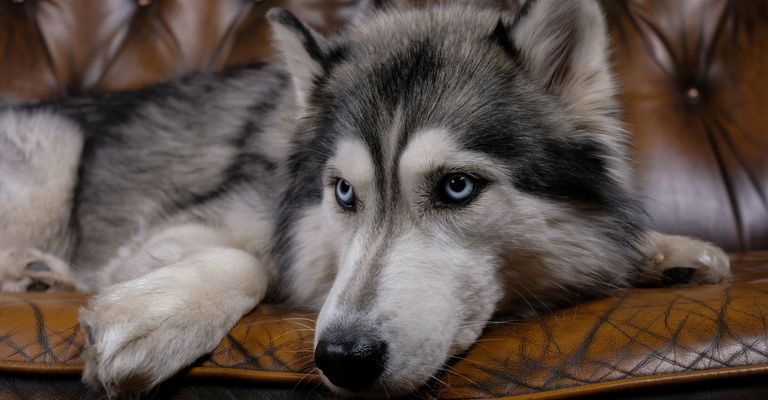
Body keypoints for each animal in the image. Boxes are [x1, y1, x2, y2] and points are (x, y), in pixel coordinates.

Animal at [0, 0, 728, 396]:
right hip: (54, 153)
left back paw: (42, 276)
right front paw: (155, 315)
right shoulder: (173, 232)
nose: (342, 360)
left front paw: (668, 252)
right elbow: (253, 260)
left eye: (457, 187)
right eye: (344, 193)